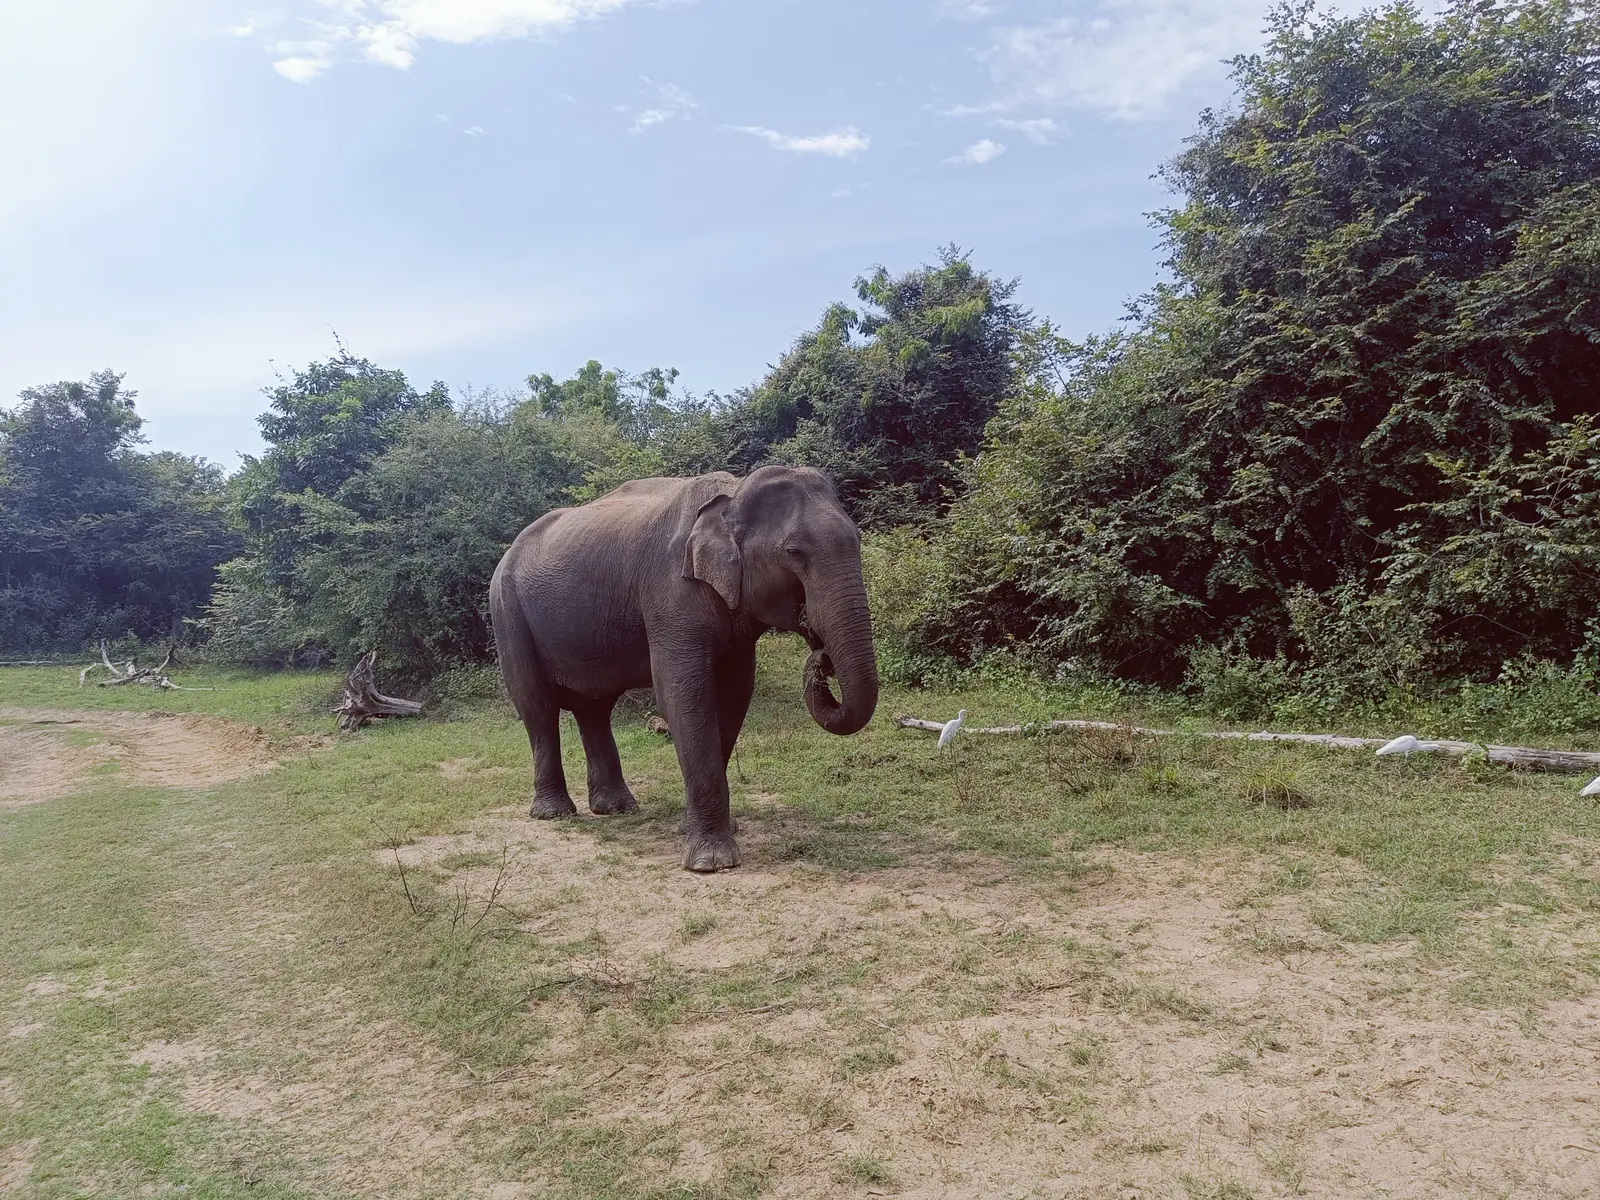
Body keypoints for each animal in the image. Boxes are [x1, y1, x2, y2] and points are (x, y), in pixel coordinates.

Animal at [489, 465, 880, 871]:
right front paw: (712, 862)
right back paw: (555, 813)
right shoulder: (670, 592)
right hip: (507, 612)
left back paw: (617, 808)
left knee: (594, 709)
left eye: (857, 540)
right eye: (793, 552)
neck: (734, 493)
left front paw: (697, 829)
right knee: (538, 707)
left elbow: (734, 695)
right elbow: (683, 694)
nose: (821, 654)